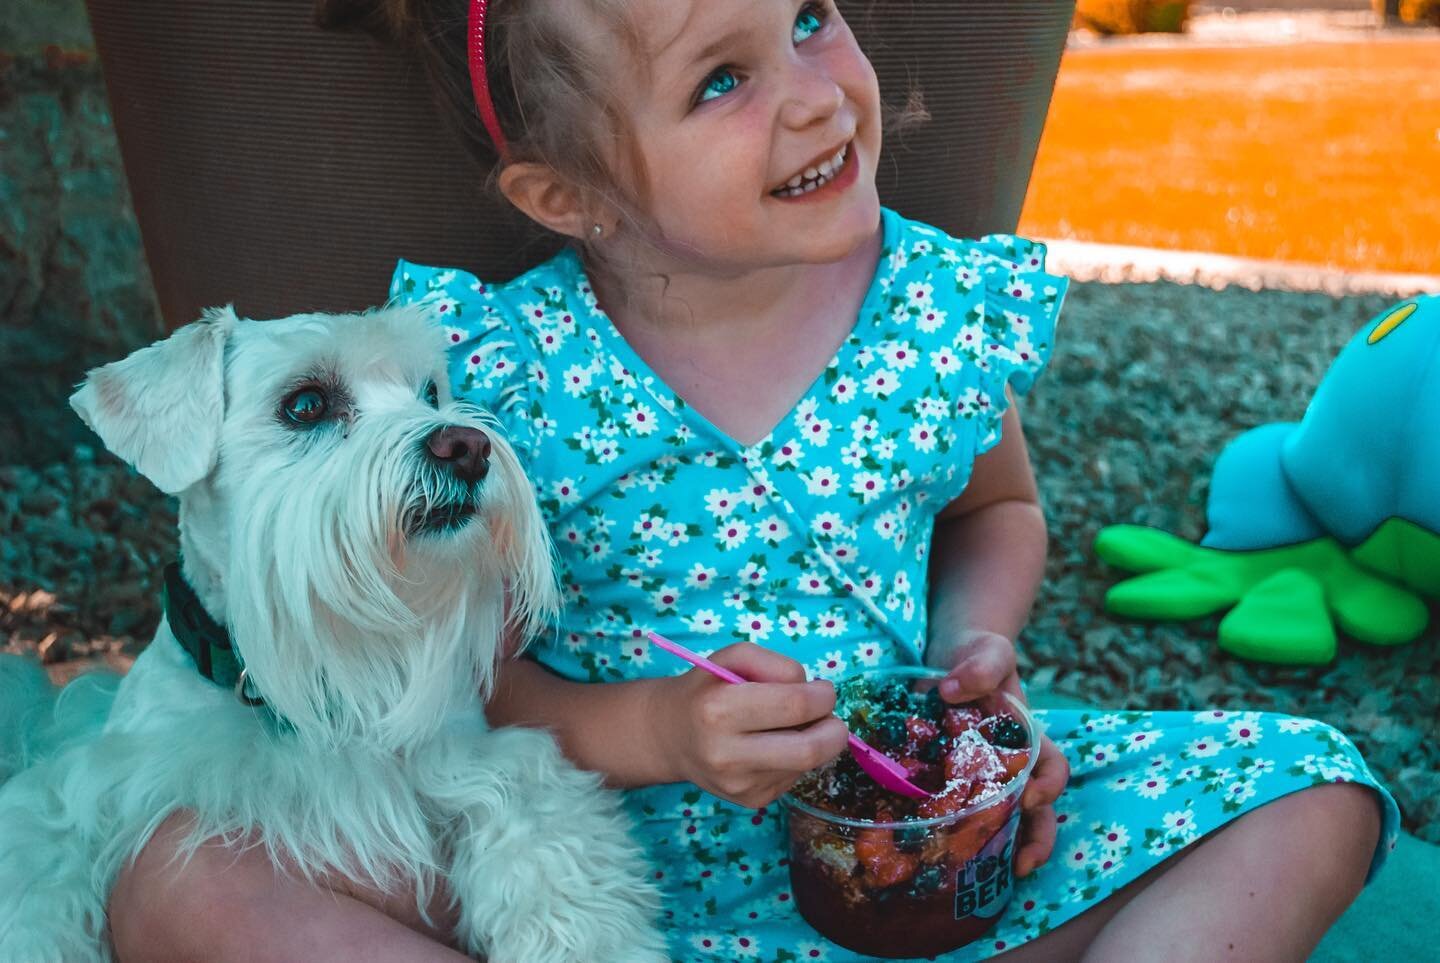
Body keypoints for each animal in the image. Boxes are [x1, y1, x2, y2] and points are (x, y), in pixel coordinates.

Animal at [0, 303, 662, 955]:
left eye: (430, 392)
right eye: (306, 404)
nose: (468, 445)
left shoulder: (466, 756)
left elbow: (540, 822)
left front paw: (582, 934)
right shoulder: (98, 789)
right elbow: (39, 885)